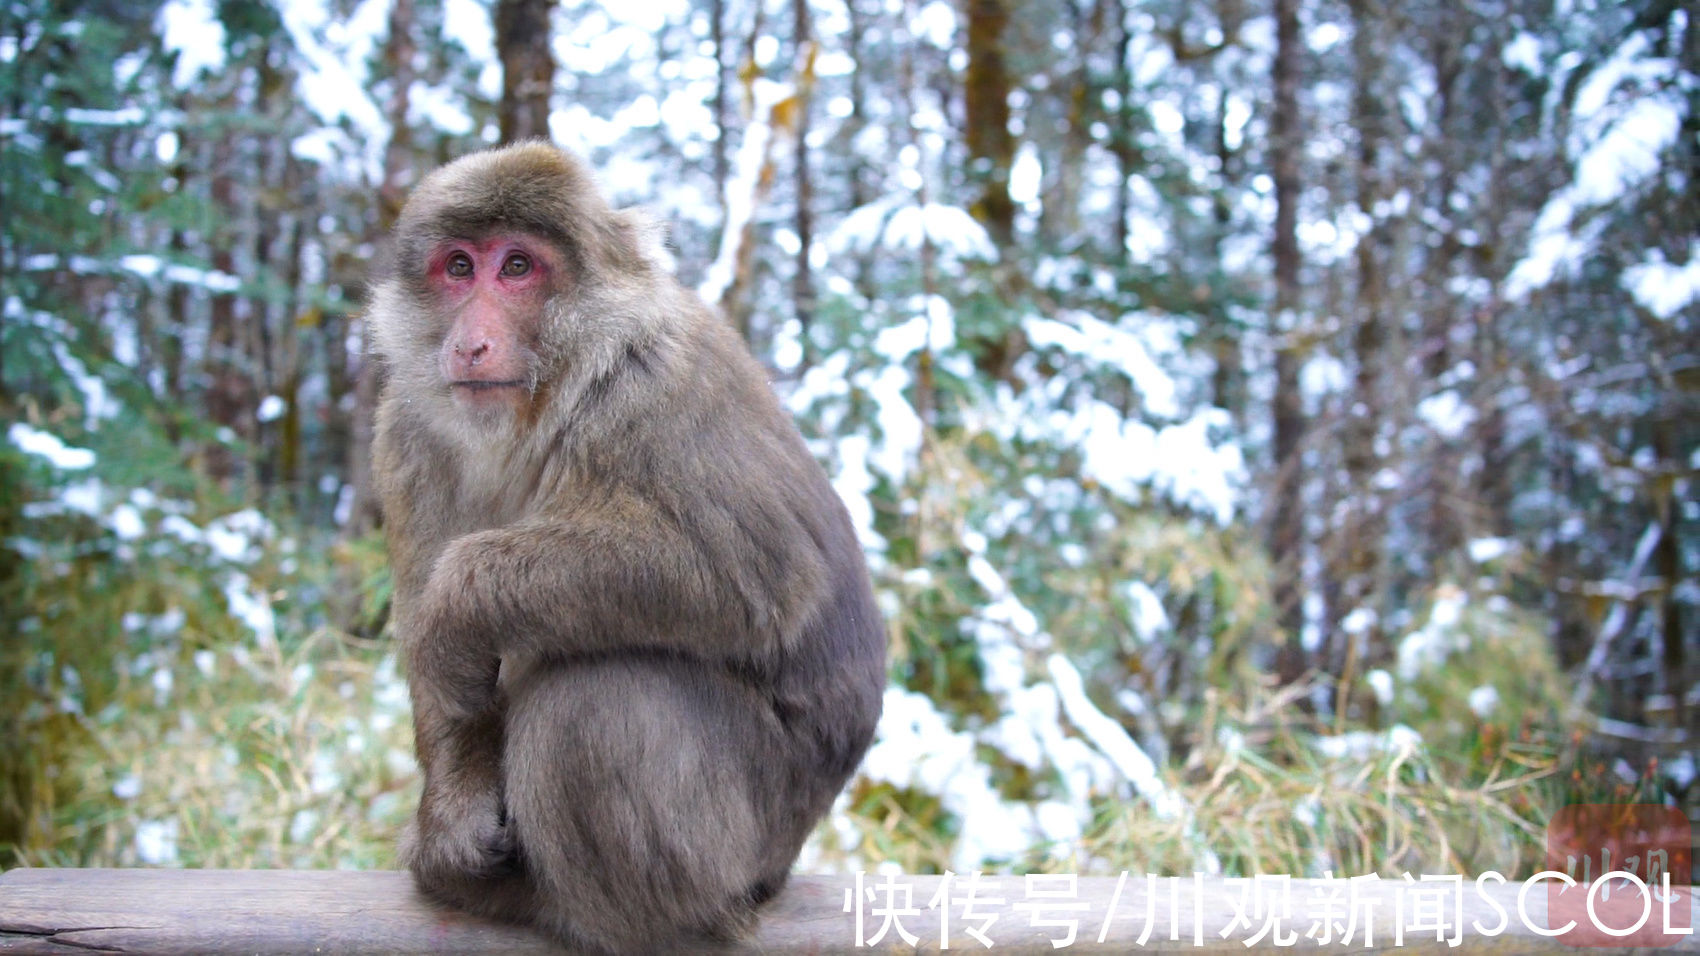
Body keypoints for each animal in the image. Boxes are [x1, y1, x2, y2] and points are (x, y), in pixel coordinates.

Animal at [365, 142, 884, 952]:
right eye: (459, 267)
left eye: (518, 267)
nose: (471, 342)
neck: (549, 398)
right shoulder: (405, 432)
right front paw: (454, 822)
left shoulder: (656, 383)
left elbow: (762, 573)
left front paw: (457, 605)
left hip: (756, 827)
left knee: (599, 694)